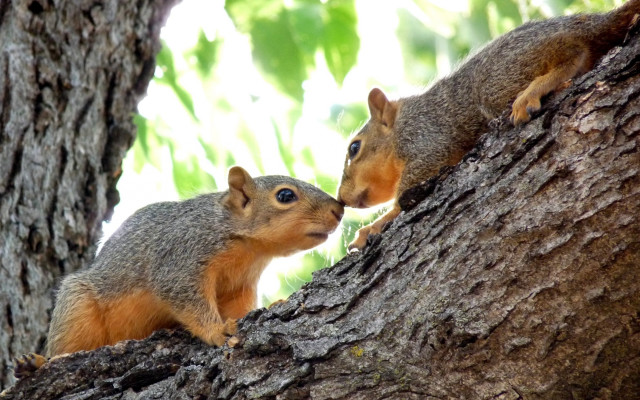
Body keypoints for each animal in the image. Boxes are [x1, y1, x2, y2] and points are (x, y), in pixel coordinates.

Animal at [13, 166, 343, 378]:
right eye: (285, 196)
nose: (339, 210)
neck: (248, 249)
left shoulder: (239, 287)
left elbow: (239, 309)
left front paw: (270, 305)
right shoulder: (182, 256)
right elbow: (184, 296)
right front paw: (217, 331)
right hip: (77, 306)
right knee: (65, 347)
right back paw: (36, 362)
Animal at [338, 0, 640, 251]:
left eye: (354, 148)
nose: (341, 199)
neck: (401, 125)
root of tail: (587, 21)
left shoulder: (426, 141)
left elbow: (404, 202)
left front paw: (371, 228)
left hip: (498, 79)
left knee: (572, 52)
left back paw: (533, 93)